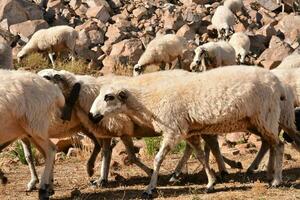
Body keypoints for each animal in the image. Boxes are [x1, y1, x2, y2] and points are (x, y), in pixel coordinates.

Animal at [0, 69, 65, 200]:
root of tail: (53, 89)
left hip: (35, 124)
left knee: (50, 150)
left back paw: (43, 189)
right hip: (32, 130)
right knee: (47, 152)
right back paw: (49, 187)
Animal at [90, 65, 288, 197]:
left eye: (109, 97)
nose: (92, 115)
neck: (149, 101)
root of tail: (277, 83)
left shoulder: (172, 130)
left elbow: (158, 159)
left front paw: (150, 188)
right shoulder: (188, 131)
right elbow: (200, 156)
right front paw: (211, 183)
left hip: (266, 115)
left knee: (279, 145)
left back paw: (276, 181)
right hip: (257, 120)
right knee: (271, 144)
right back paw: (269, 174)